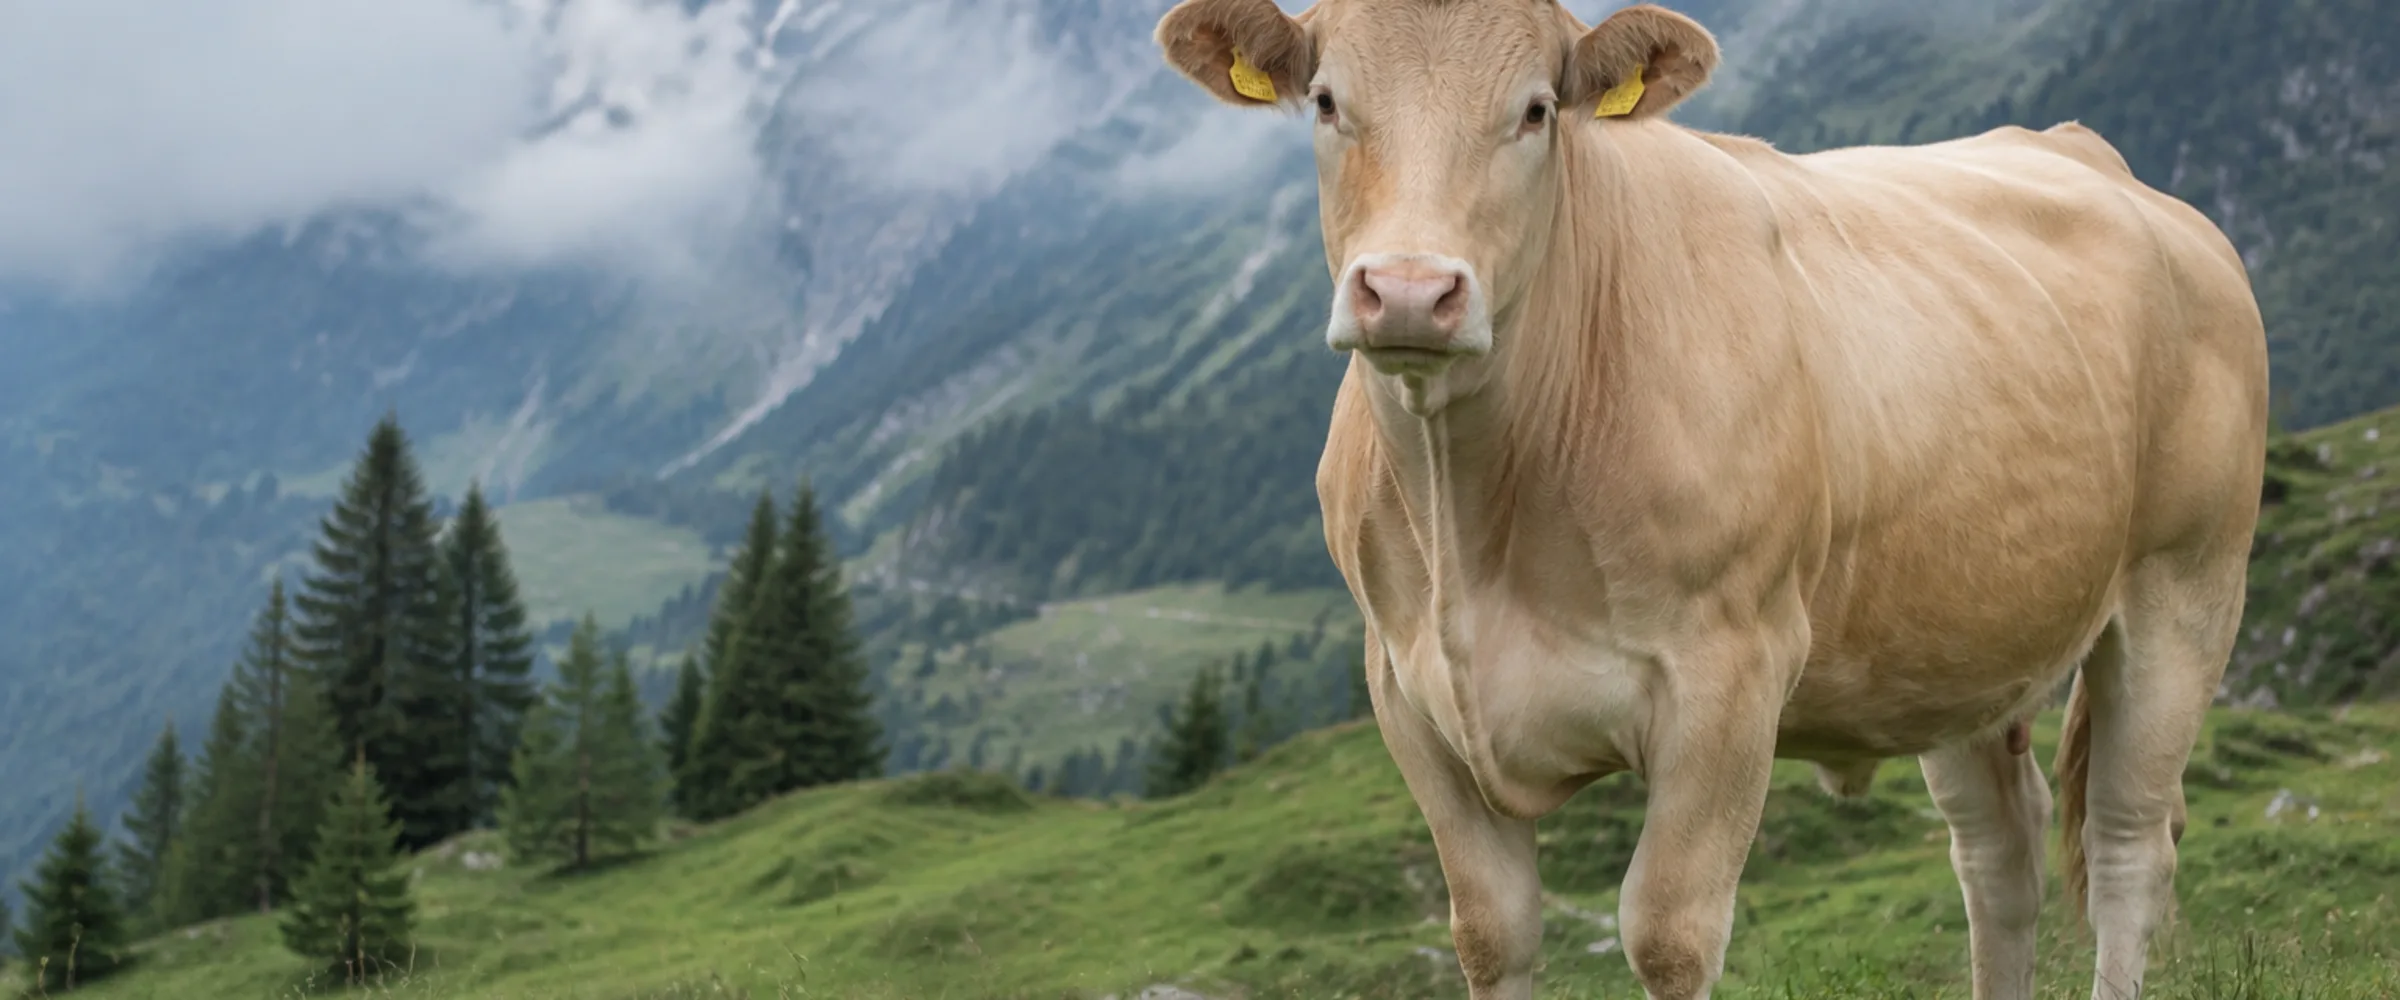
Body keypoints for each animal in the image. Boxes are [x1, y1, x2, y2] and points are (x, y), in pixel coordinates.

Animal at [1150, 2, 2267, 998]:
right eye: (1328, 102)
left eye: (1537, 109)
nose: (1413, 293)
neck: (1473, 512)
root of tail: (2091, 155)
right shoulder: (1406, 692)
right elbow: (1490, 933)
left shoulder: (1728, 678)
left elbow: (1668, 937)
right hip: (1956, 640)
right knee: (2001, 849)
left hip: (2186, 589)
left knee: (2126, 840)